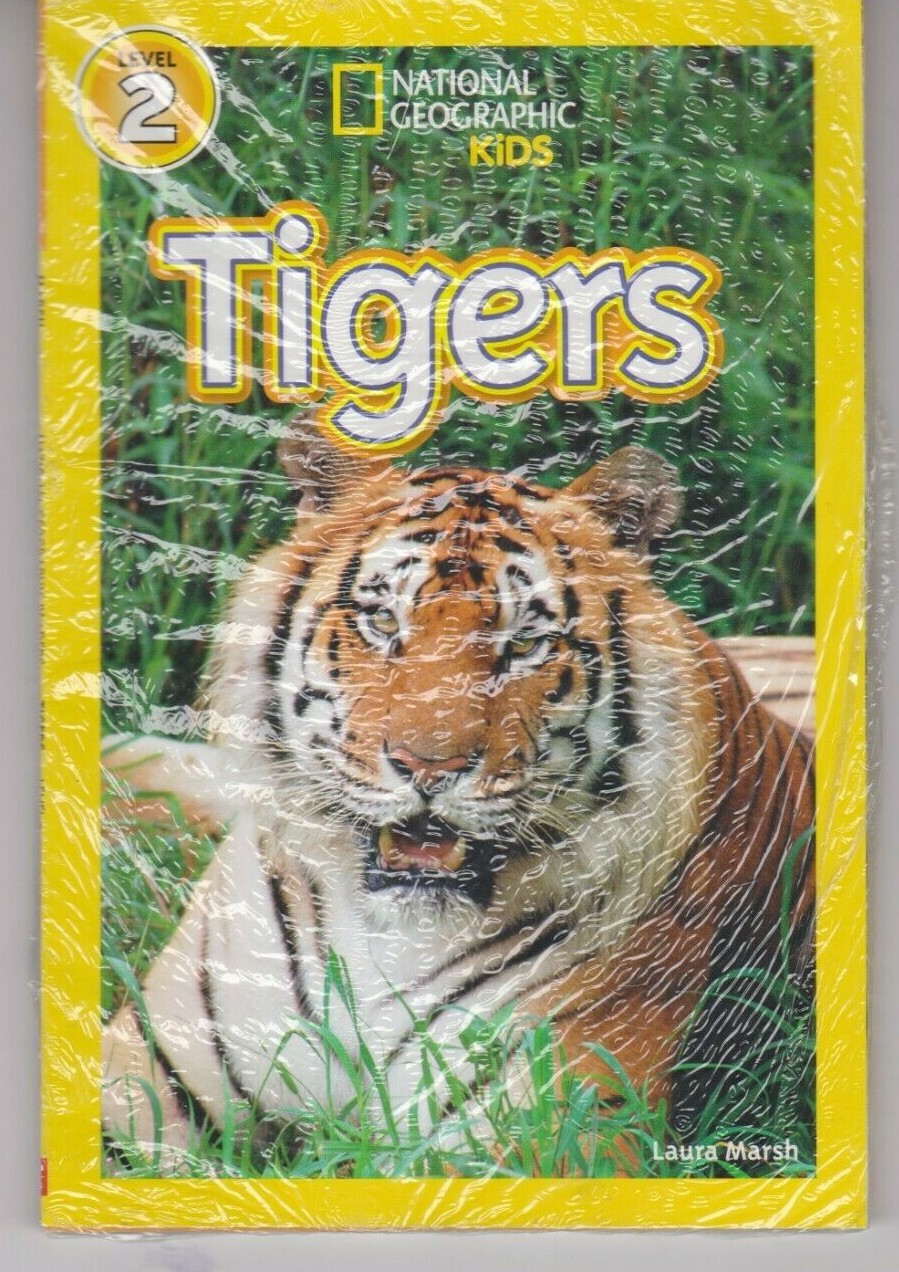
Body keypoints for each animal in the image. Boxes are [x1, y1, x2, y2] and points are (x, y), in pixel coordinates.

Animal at [102, 429, 815, 1171]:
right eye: (382, 620)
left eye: (524, 644)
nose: (429, 766)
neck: (381, 939)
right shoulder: (146, 1074)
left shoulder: (549, 1129)